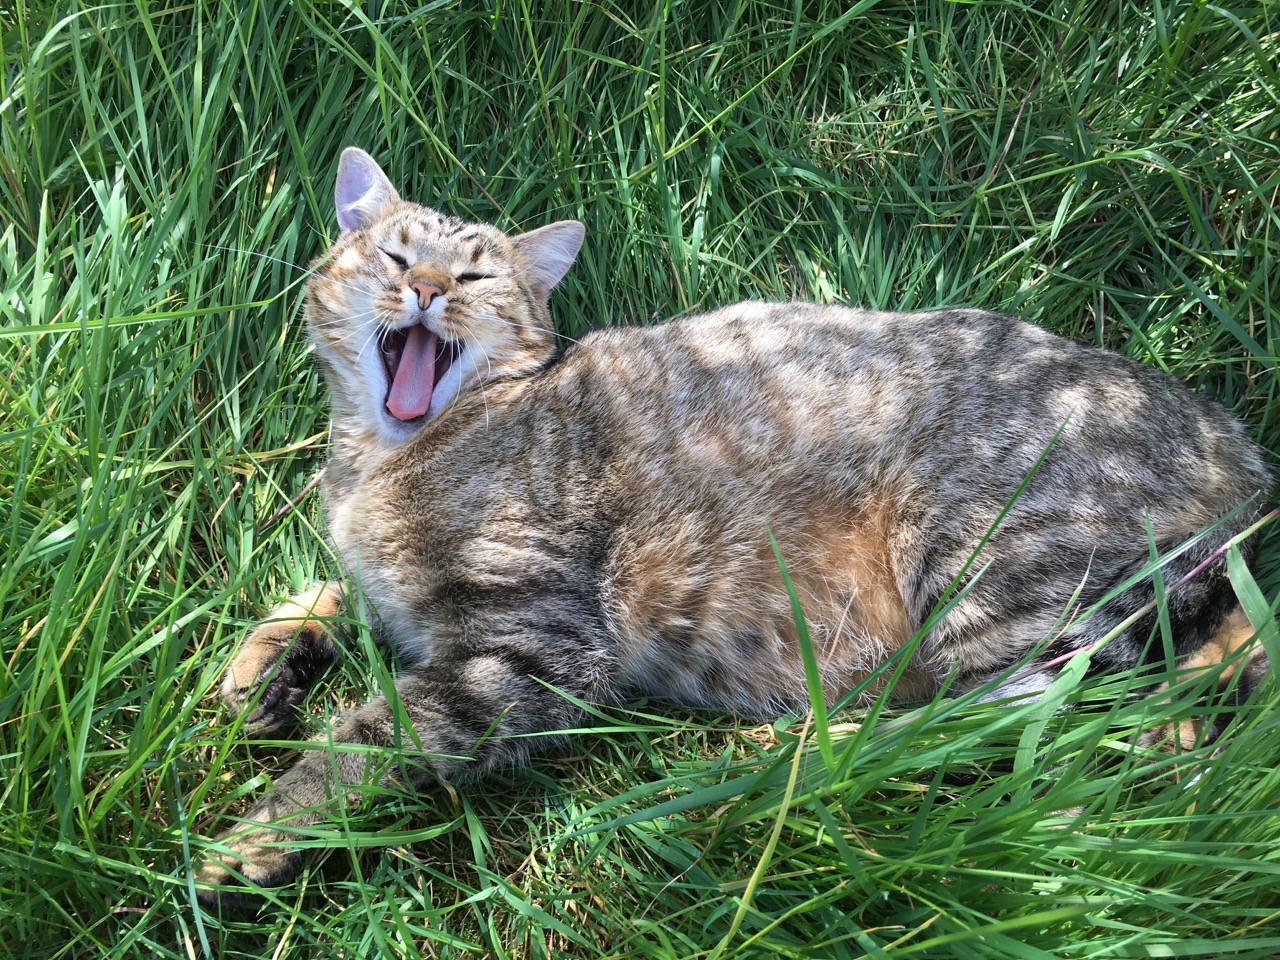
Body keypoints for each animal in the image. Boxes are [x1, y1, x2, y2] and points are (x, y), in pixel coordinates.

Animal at [194, 146, 1274, 906]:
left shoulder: (530, 641)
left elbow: (371, 734)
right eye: (393, 254)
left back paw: (776, 761)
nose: (421, 291)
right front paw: (267, 663)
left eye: (473, 279)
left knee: (1029, 727)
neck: (382, 463)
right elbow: (324, 593)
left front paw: (260, 833)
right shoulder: (402, 596)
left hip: (991, 560)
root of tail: (1237, 443)